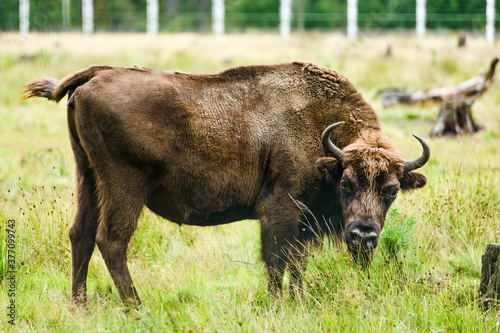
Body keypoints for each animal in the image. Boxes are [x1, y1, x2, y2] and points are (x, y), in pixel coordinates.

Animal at [21, 61, 430, 306]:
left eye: (392, 191)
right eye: (345, 184)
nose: (363, 235)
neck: (322, 137)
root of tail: (96, 75)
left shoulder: (303, 222)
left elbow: (296, 263)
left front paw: (298, 301)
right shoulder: (281, 209)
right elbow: (277, 259)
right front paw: (278, 304)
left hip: (87, 177)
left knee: (81, 234)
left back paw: (79, 306)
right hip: (124, 186)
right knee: (111, 239)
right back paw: (137, 307)